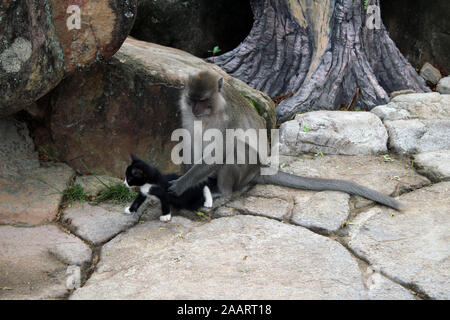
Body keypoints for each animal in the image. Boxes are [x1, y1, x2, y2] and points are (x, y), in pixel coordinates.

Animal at [167, 70, 402, 210]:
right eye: (192, 99)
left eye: (203, 100)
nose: (196, 109)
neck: (210, 112)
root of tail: (259, 170)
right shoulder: (187, 113)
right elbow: (189, 140)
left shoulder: (227, 119)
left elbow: (221, 151)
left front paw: (181, 185)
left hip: (246, 170)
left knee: (237, 149)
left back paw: (222, 191)